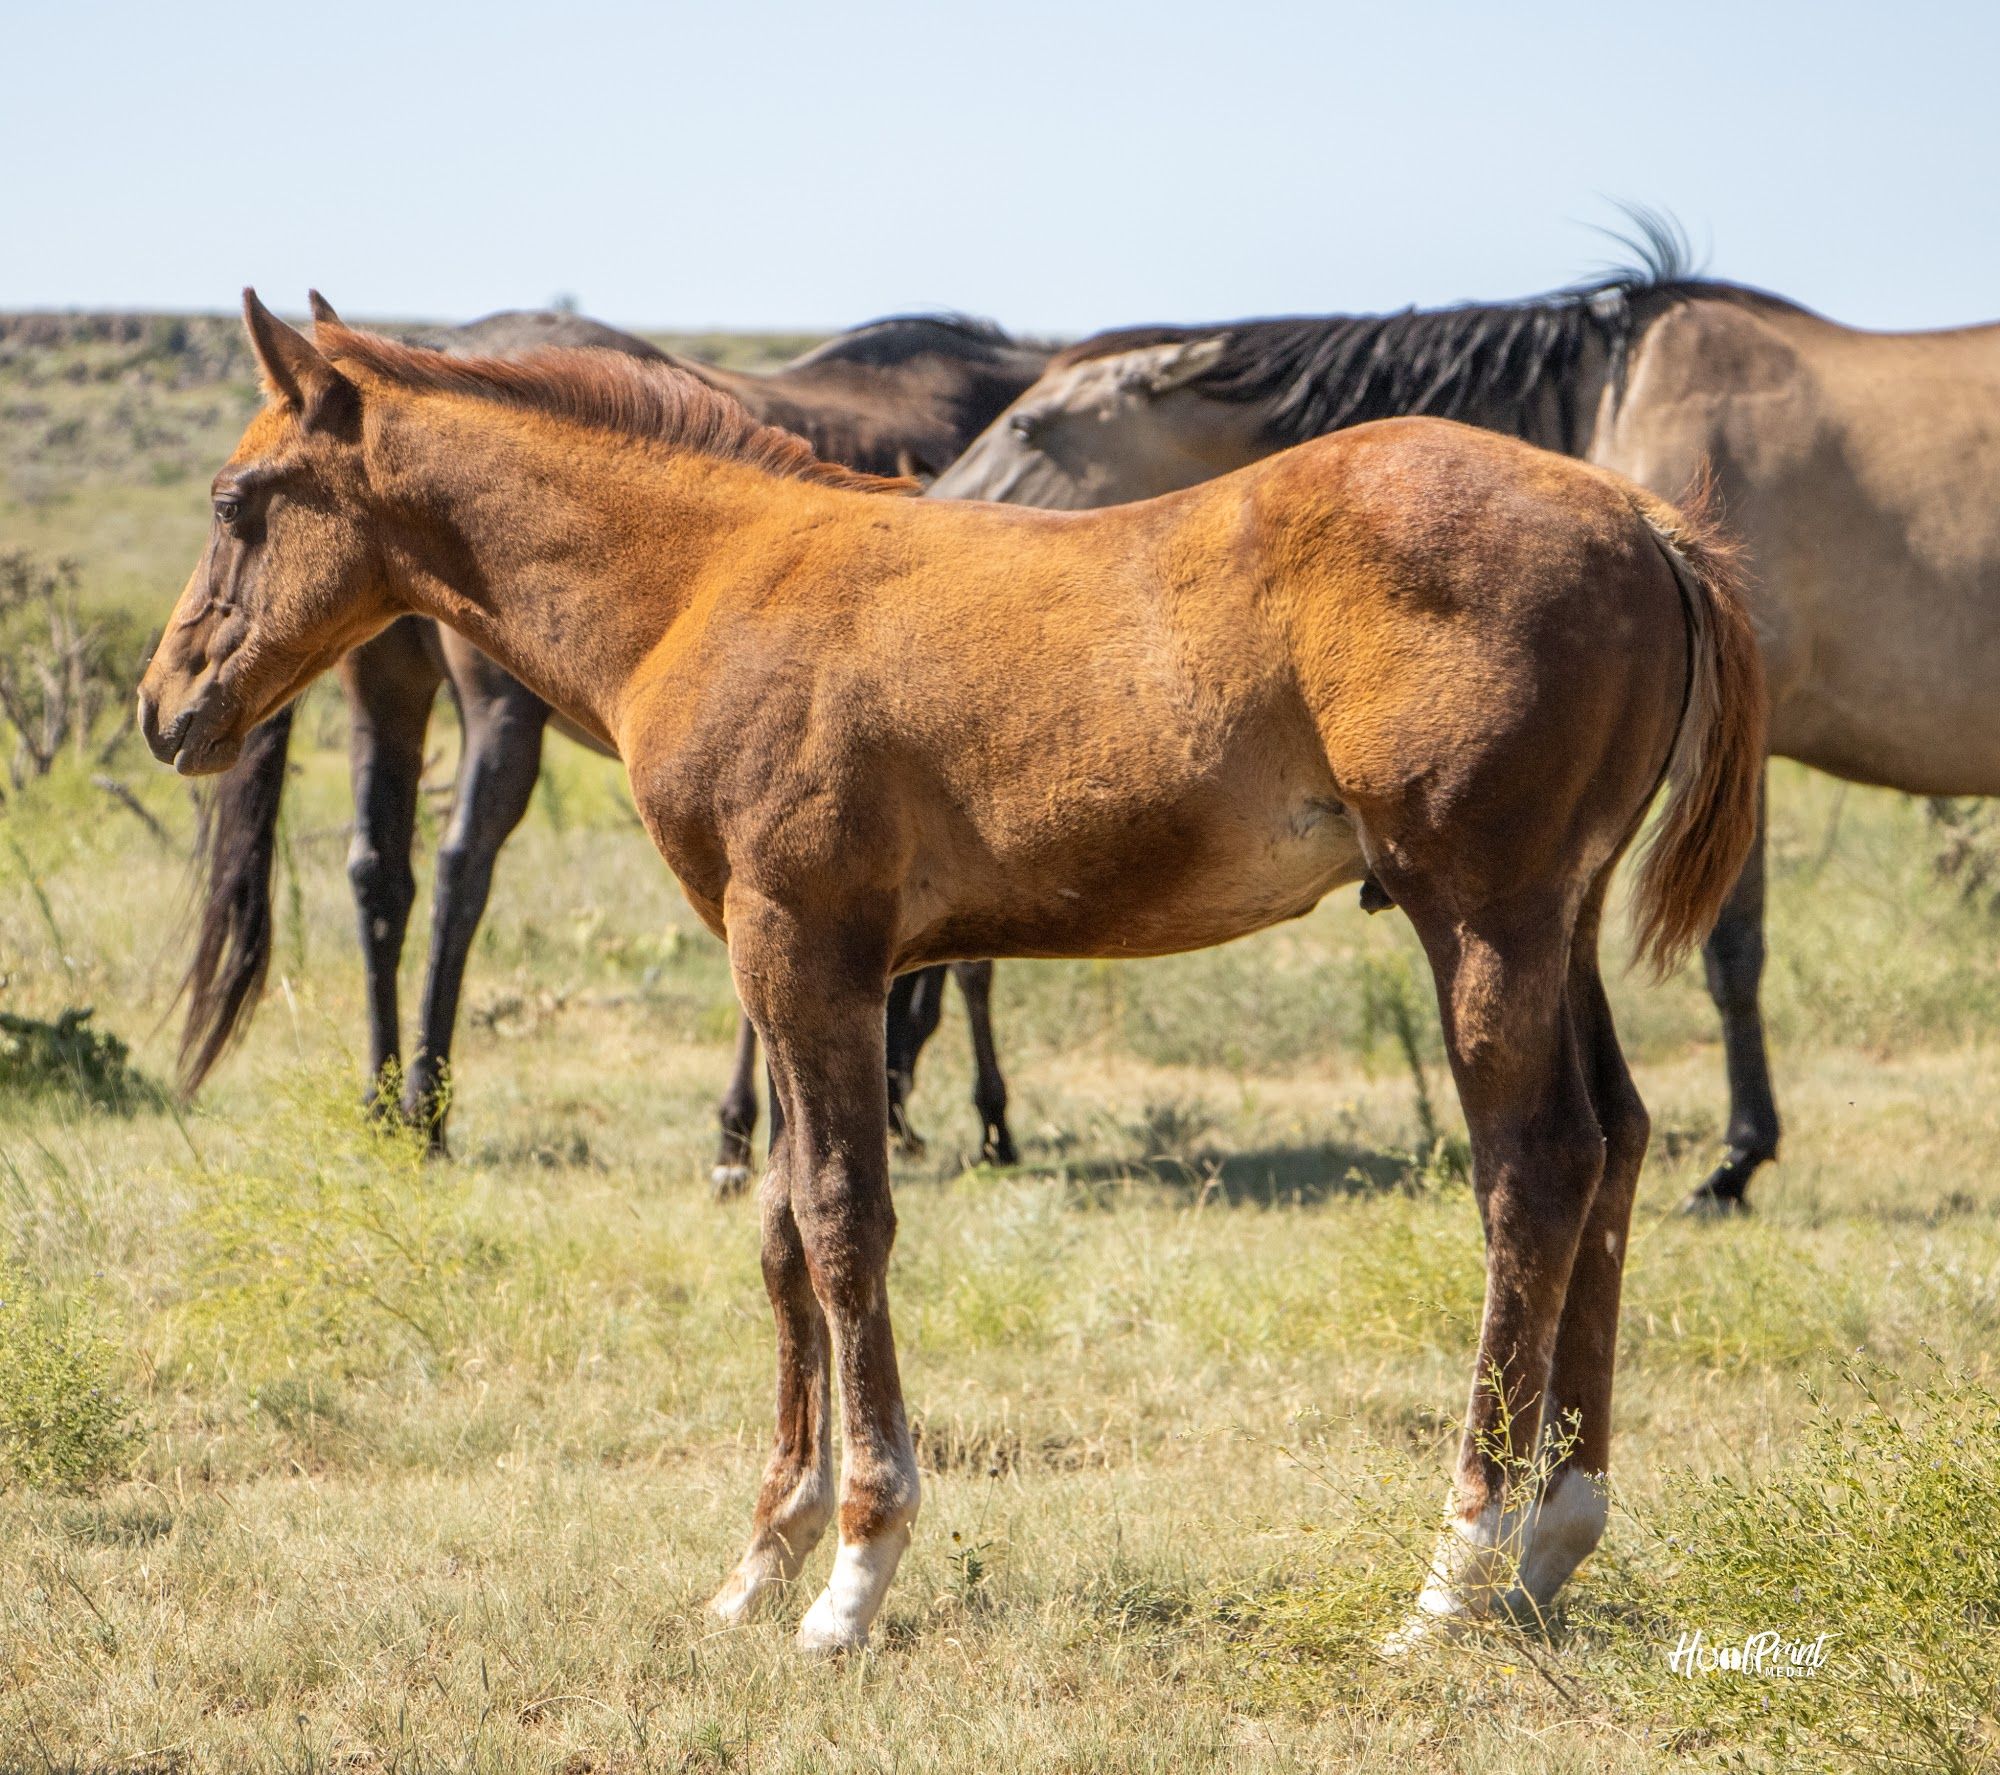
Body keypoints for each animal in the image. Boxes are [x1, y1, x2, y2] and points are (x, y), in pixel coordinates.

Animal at [176, 306, 1050, 1181]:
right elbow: (964, 965)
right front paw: (983, 1118)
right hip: (501, 711)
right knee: (461, 867)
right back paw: (428, 1108)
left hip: (384, 690)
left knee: (379, 870)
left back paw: (384, 1101)